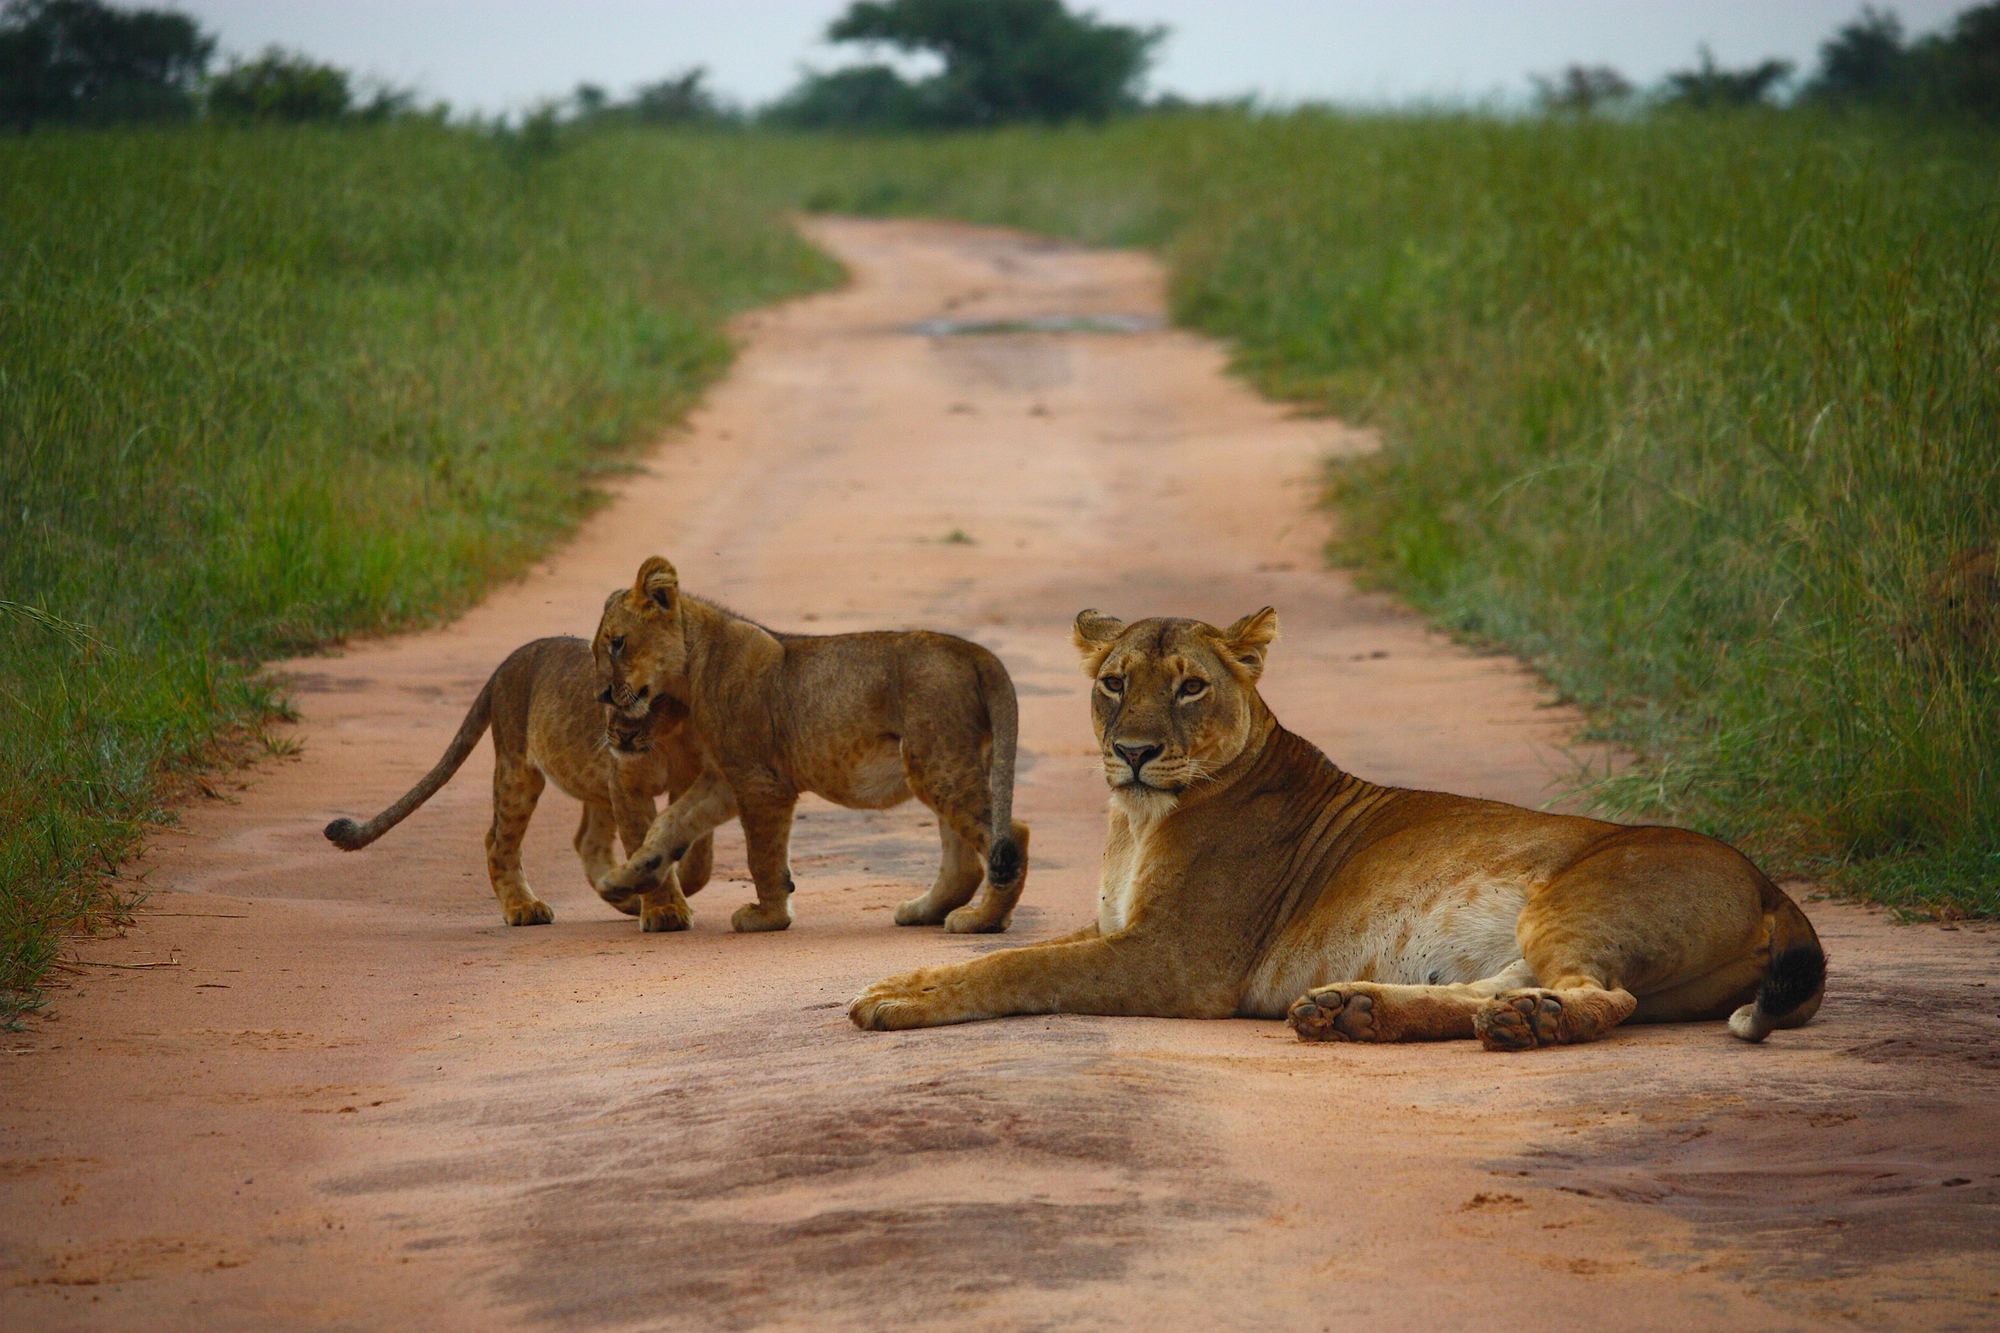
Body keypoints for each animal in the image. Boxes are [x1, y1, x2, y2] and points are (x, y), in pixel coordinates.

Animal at [323, 636, 713, 932]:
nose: (622, 735)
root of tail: (509, 661)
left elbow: (698, 856)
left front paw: (661, 888)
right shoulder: (629, 786)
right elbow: (646, 843)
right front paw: (665, 911)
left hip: (591, 780)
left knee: (588, 840)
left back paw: (620, 893)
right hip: (518, 769)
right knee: (498, 841)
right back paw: (524, 908)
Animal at [591, 556, 1028, 935]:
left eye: (617, 643)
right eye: (598, 650)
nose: (603, 695)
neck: (691, 669)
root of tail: (974, 651)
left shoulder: (761, 783)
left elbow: (762, 856)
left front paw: (768, 917)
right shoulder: (724, 781)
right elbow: (669, 826)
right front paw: (621, 881)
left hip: (937, 762)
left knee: (1011, 835)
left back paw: (982, 920)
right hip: (939, 763)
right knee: (964, 864)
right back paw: (924, 911)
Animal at [850, 607, 1825, 1052]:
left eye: (1190, 686)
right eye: (1114, 681)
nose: (1131, 751)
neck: (1136, 818)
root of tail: (1771, 883)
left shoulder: (1176, 959)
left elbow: (1019, 966)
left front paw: (899, 997)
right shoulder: (1122, 928)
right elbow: (1011, 952)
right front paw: (906, 976)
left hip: (1575, 896)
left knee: (1603, 996)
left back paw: (1527, 1023)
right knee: (1493, 988)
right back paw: (1354, 1009)